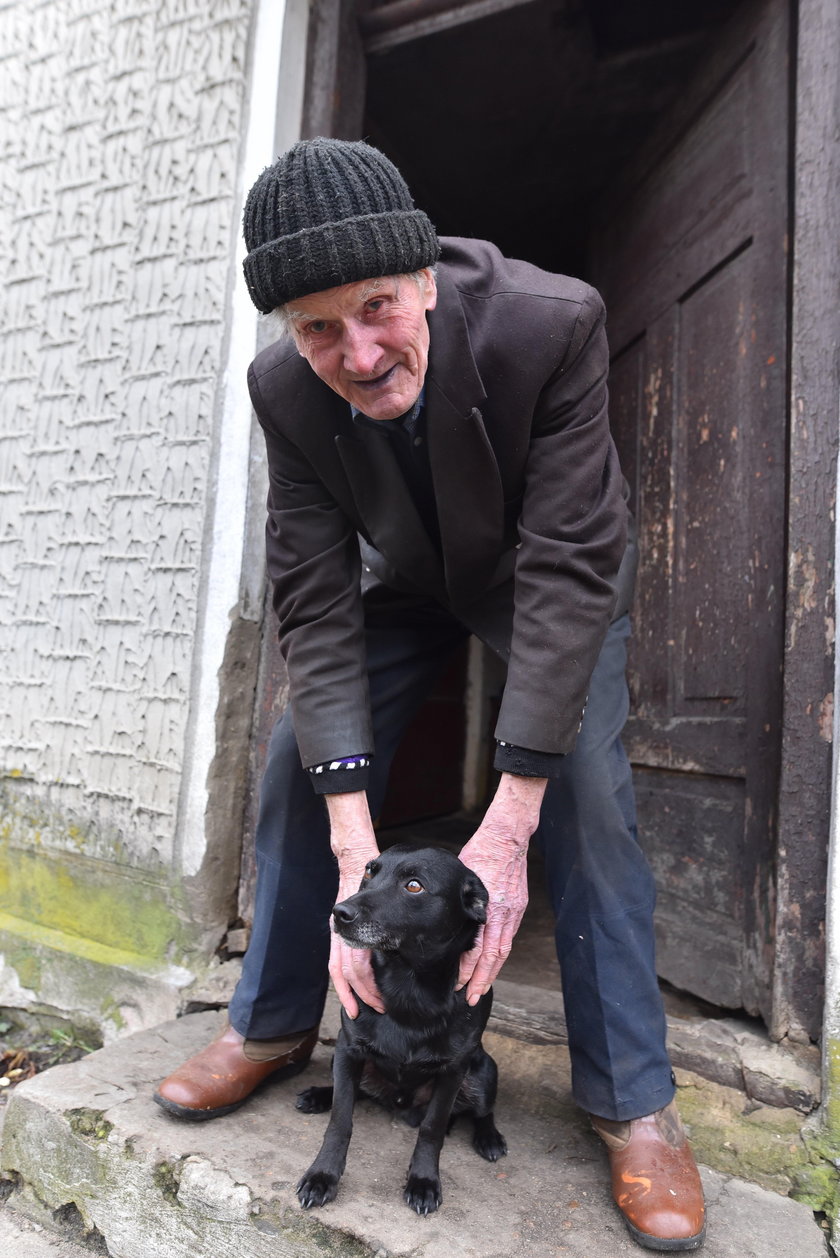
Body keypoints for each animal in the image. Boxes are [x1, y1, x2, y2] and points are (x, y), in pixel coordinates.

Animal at [295, 840, 505, 1212]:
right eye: (369, 872)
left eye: (414, 886)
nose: (339, 912)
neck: (408, 984)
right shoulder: (348, 1049)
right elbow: (341, 1119)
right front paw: (322, 1176)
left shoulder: (455, 1069)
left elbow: (432, 1128)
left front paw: (423, 1182)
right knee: (350, 1092)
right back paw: (318, 1095)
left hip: (483, 1071)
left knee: (482, 1111)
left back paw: (489, 1138)